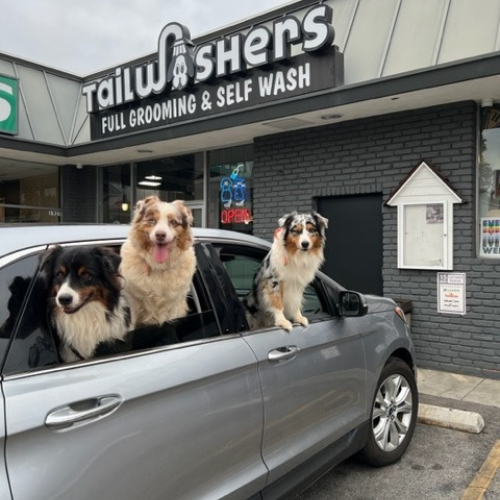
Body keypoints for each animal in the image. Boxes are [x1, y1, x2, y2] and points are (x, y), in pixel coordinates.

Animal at [120, 195, 196, 328]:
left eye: (173, 222)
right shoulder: (132, 301)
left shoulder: (173, 305)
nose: (160, 235)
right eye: (151, 220)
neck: (158, 266)